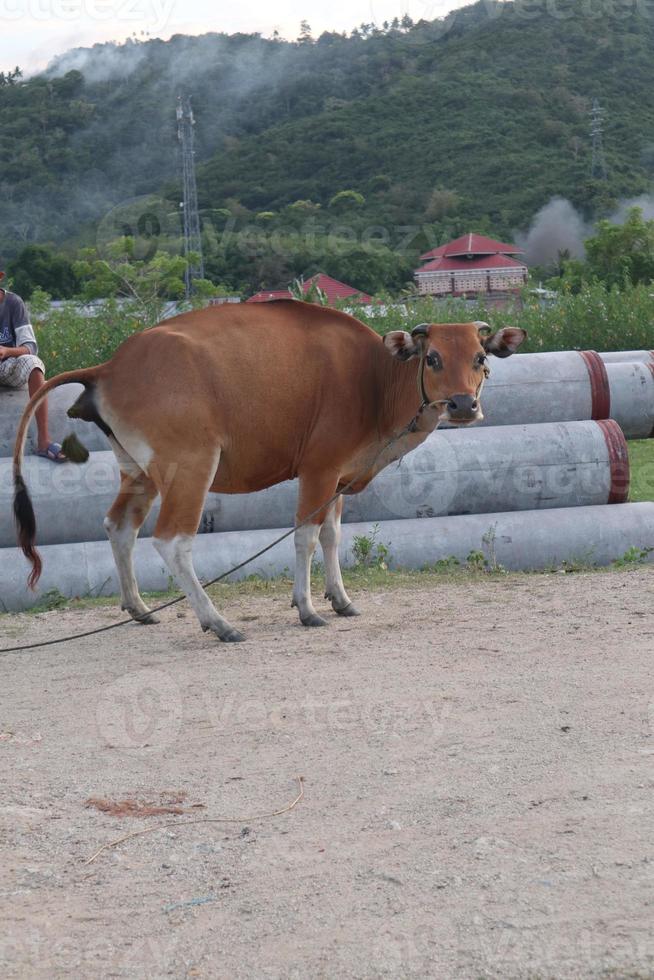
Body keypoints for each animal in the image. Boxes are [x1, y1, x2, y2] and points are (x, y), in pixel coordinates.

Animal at [11, 302, 528, 640]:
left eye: (480, 357)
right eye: (433, 357)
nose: (463, 405)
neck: (373, 378)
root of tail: (111, 366)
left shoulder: (338, 478)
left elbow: (332, 537)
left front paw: (340, 599)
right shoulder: (318, 470)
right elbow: (305, 536)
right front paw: (307, 608)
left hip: (138, 473)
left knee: (119, 526)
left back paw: (139, 608)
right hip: (191, 468)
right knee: (172, 541)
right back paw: (218, 622)